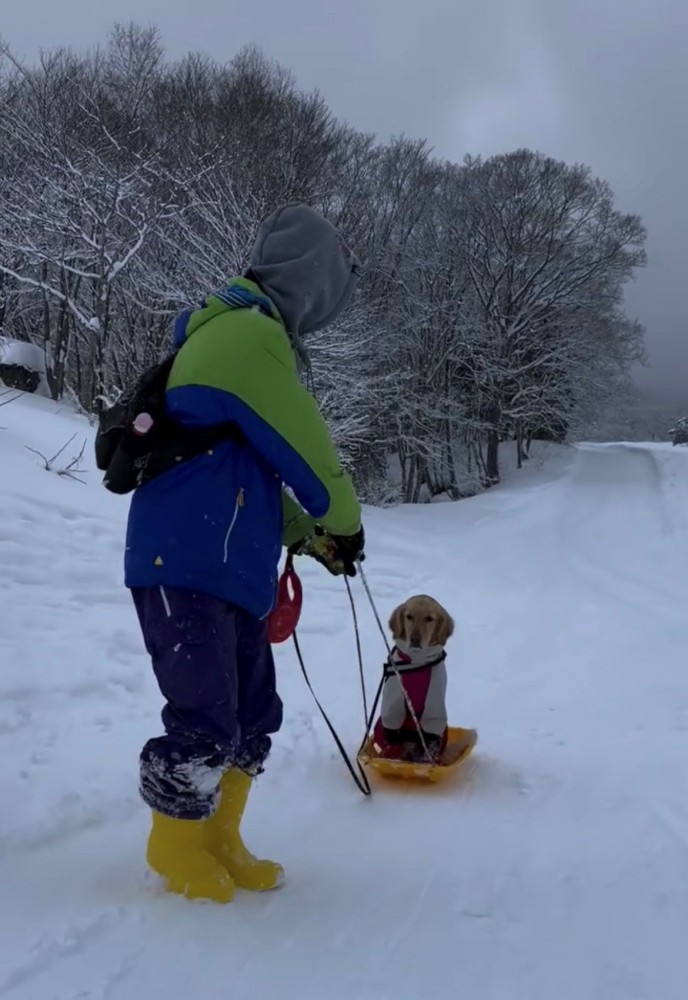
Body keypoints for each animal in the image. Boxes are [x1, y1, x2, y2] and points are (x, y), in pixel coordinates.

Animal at [374, 592, 454, 764]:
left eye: (429, 619)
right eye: (409, 616)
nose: (415, 640)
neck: (417, 662)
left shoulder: (434, 711)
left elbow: (431, 742)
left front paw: (429, 762)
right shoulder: (392, 708)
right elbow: (392, 737)